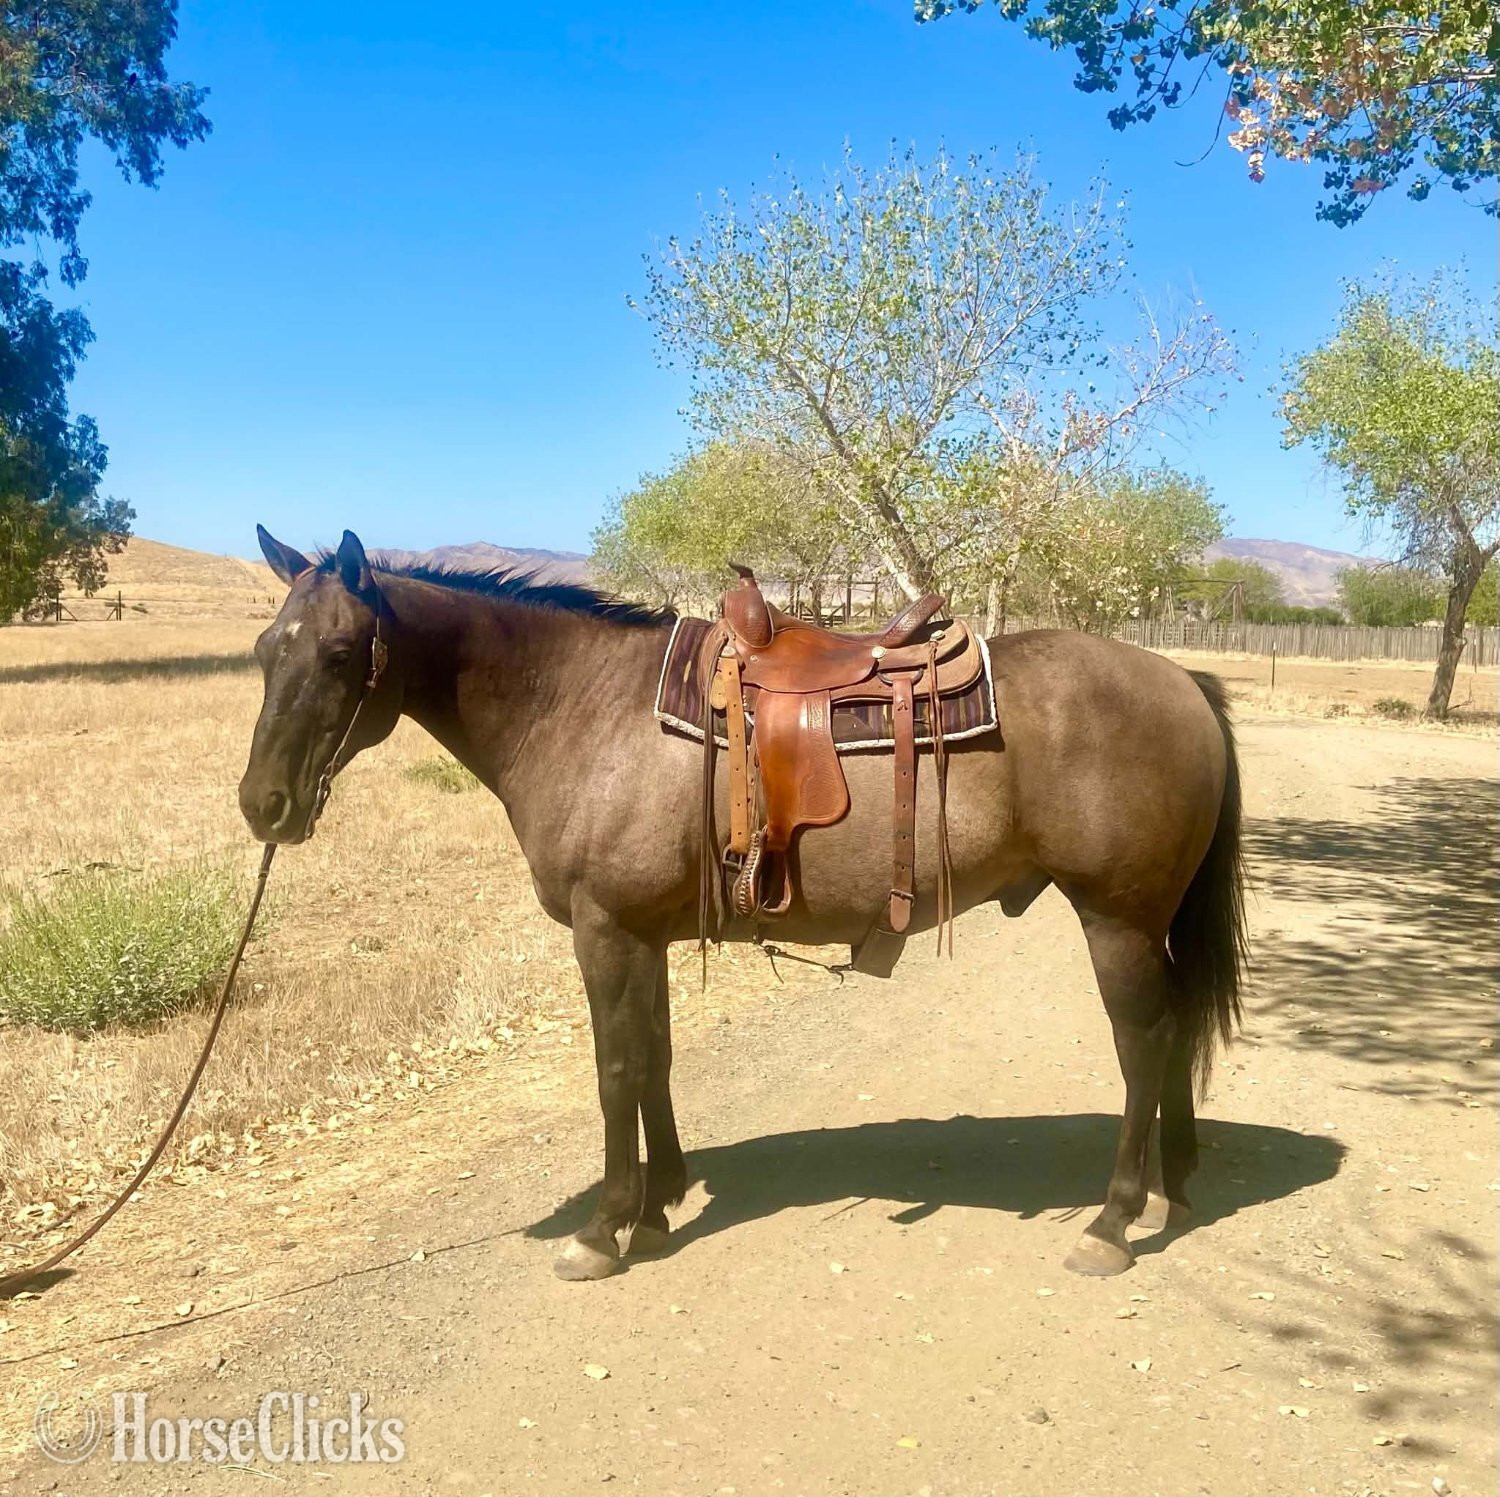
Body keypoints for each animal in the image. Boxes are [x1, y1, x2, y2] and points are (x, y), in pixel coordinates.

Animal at [239, 527, 1246, 1282]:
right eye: (261, 651)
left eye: (340, 653)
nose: (263, 804)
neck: (583, 707)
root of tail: (1184, 682)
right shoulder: (643, 935)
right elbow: (654, 1060)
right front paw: (659, 1203)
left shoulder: (606, 933)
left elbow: (615, 1072)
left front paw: (603, 1227)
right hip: (1145, 926)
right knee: (1172, 1036)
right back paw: (1173, 1185)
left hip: (1117, 922)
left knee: (1146, 1043)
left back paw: (1113, 1218)